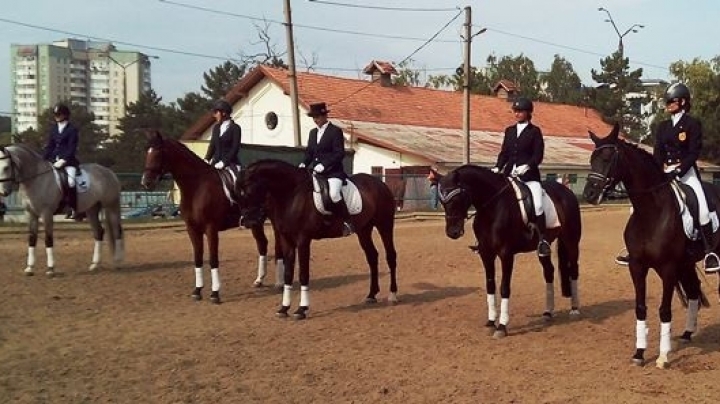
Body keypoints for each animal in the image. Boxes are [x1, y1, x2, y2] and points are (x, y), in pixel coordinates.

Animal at [0, 144, 124, 276]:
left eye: (6, 167)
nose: (3, 192)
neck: (36, 179)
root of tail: (108, 171)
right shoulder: (31, 214)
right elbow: (32, 239)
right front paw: (30, 268)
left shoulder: (47, 213)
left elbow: (48, 239)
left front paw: (50, 269)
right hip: (92, 210)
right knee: (98, 232)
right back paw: (95, 265)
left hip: (111, 206)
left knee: (117, 232)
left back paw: (117, 262)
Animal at [141, 131, 284, 304]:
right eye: (147, 152)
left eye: (159, 153)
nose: (146, 182)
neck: (197, 187)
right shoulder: (192, 229)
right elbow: (198, 258)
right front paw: (197, 291)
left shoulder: (211, 228)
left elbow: (213, 259)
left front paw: (215, 293)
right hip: (256, 222)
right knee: (262, 244)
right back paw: (259, 280)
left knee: (278, 246)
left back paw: (279, 283)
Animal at [238, 158, 400, 318]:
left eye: (248, 190)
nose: (247, 221)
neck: (292, 195)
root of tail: (380, 184)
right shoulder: (287, 240)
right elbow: (288, 274)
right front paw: (284, 308)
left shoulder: (303, 240)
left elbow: (303, 274)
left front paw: (301, 309)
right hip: (364, 230)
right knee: (372, 257)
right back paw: (371, 295)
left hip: (384, 225)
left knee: (390, 256)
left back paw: (392, 295)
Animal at [436, 164, 584, 338]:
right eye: (442, 200)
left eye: (457, 198)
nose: (452, 232)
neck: (492, 207)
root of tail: (567, 192)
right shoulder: (486, 254)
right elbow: (490, 285)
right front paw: (490, 322)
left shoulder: (506, 254)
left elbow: (504, 287)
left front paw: (501, 326)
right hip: (543, 249)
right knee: (549, 272)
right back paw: (548, 312)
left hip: (571, 242)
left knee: (573, 270)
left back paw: (574, 310)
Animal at [584, 123, 716, 370]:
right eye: (591, 159)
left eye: (607, 158)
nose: (589, 194)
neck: (651, 212)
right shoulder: (637, 266)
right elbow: (640, 308)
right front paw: (639, 353)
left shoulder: (668, 268)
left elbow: (664, 310)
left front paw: (663, 357)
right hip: (686, 264)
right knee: (693, 291)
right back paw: (687, 333)